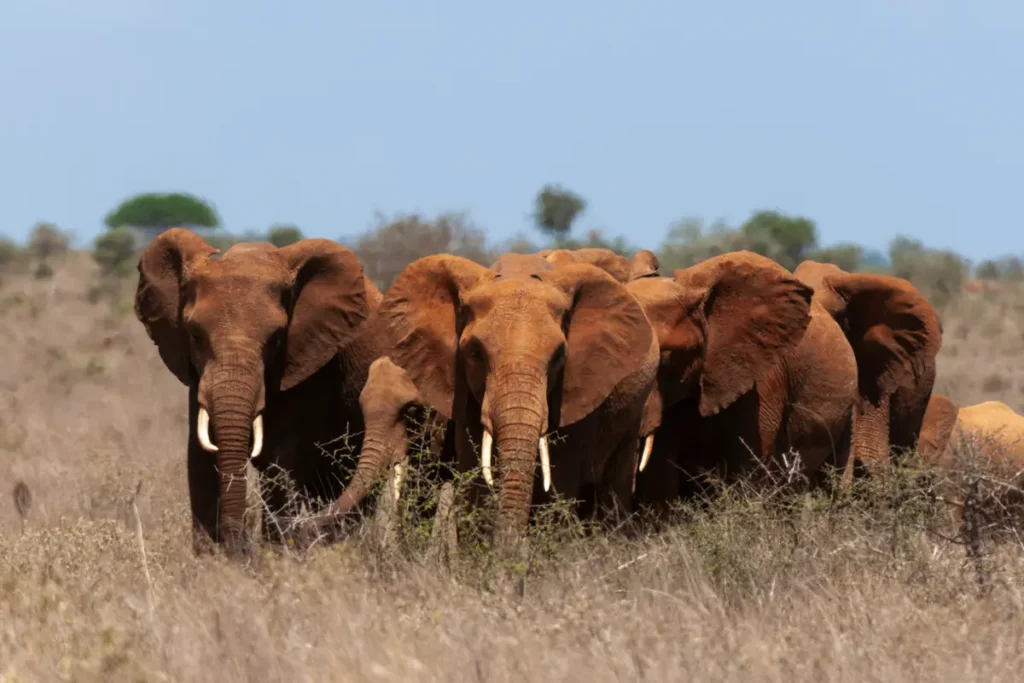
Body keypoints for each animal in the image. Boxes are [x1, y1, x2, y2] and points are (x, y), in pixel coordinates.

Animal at [134, 228, 382, 555]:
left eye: (276, 338)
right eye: (195, 335)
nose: (239, 546)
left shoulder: (308, 362)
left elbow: (280, 459)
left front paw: (275, 555)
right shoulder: (196, 374)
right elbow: (199, 454)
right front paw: (209, 560)